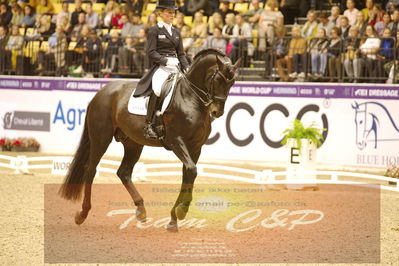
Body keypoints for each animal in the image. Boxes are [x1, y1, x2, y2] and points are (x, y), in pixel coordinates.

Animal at [59, 48, 239, 232]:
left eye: (232, 82)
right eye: (217, 79)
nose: (217, 112)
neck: (190, 98)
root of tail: (101, 92)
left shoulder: (195, 147)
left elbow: (189, 173)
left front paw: (174, 218)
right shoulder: (176, 141)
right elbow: (191, 171)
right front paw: (181, 212)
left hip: (133, 143)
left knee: (123, 172)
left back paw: (141, 210)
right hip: (101, 138)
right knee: (90, 170)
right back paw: (82, 214)